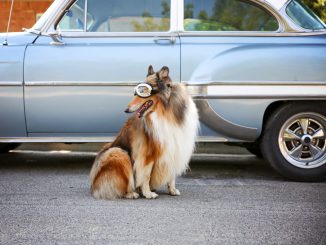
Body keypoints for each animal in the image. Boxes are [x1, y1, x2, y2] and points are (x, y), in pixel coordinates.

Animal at [88, 65, 199, 199]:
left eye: (143, 91)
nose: (126, 110)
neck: (165, 112)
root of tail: (93, 184)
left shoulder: (174, 149)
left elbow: (171, 175)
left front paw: (172, 190)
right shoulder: (147, 154)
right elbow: (146, 175)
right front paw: (148, 193)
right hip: (118, 152)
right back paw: (132, 193)